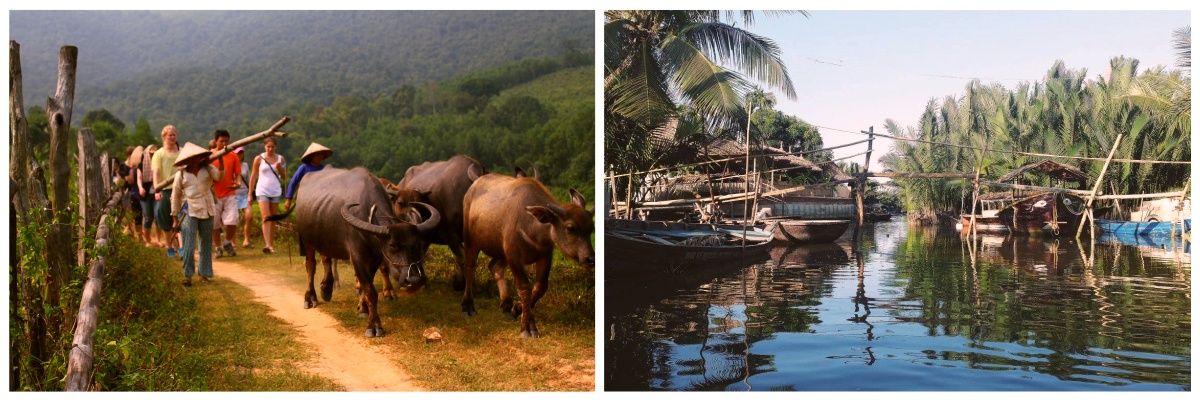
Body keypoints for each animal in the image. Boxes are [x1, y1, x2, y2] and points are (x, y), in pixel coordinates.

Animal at [272, 164, 441, 336]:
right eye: (392, 245)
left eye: (417, 244)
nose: (414, 281)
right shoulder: (357, 257)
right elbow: (370, 291)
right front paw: (374, 326)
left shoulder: (375, 258)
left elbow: (368, 285)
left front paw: (363, 308)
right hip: (307, 240)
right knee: (310, 266)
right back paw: (310, 297)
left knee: (326, 258)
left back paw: (326, 289)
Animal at [458, 171, 595, 336]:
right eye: (570, 228)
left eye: (591, 229)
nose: (590, 259)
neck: (531, 226)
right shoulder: (513, 256)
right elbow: (524, 287)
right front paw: (528, 326)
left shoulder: (545, 255)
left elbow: (540, 287)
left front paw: (517, 309)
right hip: (471, 240)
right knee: (470, 267)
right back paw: (468, 307)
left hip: (501, 251)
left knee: (495, 267)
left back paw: (506, 306)